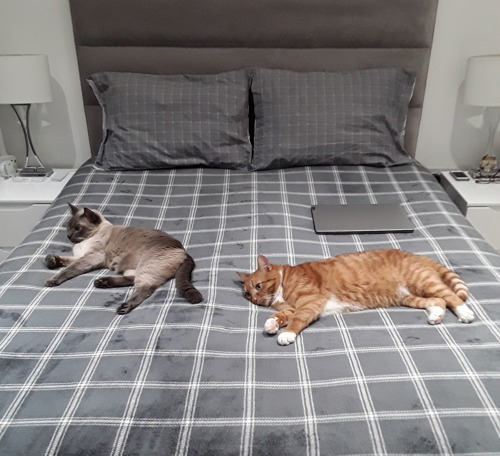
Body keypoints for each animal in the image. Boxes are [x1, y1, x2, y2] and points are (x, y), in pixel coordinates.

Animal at [45, 204, 203, 314]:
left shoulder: (91, 257)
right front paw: (51, 260)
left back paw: (123, 307)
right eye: (68, 227)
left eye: (77, 228)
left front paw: (51, 280)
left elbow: (68, 270)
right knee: (132, 279)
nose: (69, 236)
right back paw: (102, 282)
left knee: (145, 288)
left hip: (146, 266)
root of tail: (183, 250)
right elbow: (64, 261)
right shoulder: (80, 256)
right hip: (135, 267)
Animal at [236, 249, 474, 346]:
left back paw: (465, 313)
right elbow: (283, 315)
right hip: (409, 297)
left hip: (422, 281)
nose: (255, 300)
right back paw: (436, 316)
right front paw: (272, 323)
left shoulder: (310, 302)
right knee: (439, 301)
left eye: (258, 286)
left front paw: (286, 334)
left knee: (452, 297)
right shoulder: (293, 306)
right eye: (247, 293)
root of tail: (414, 255)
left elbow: (295, 320)